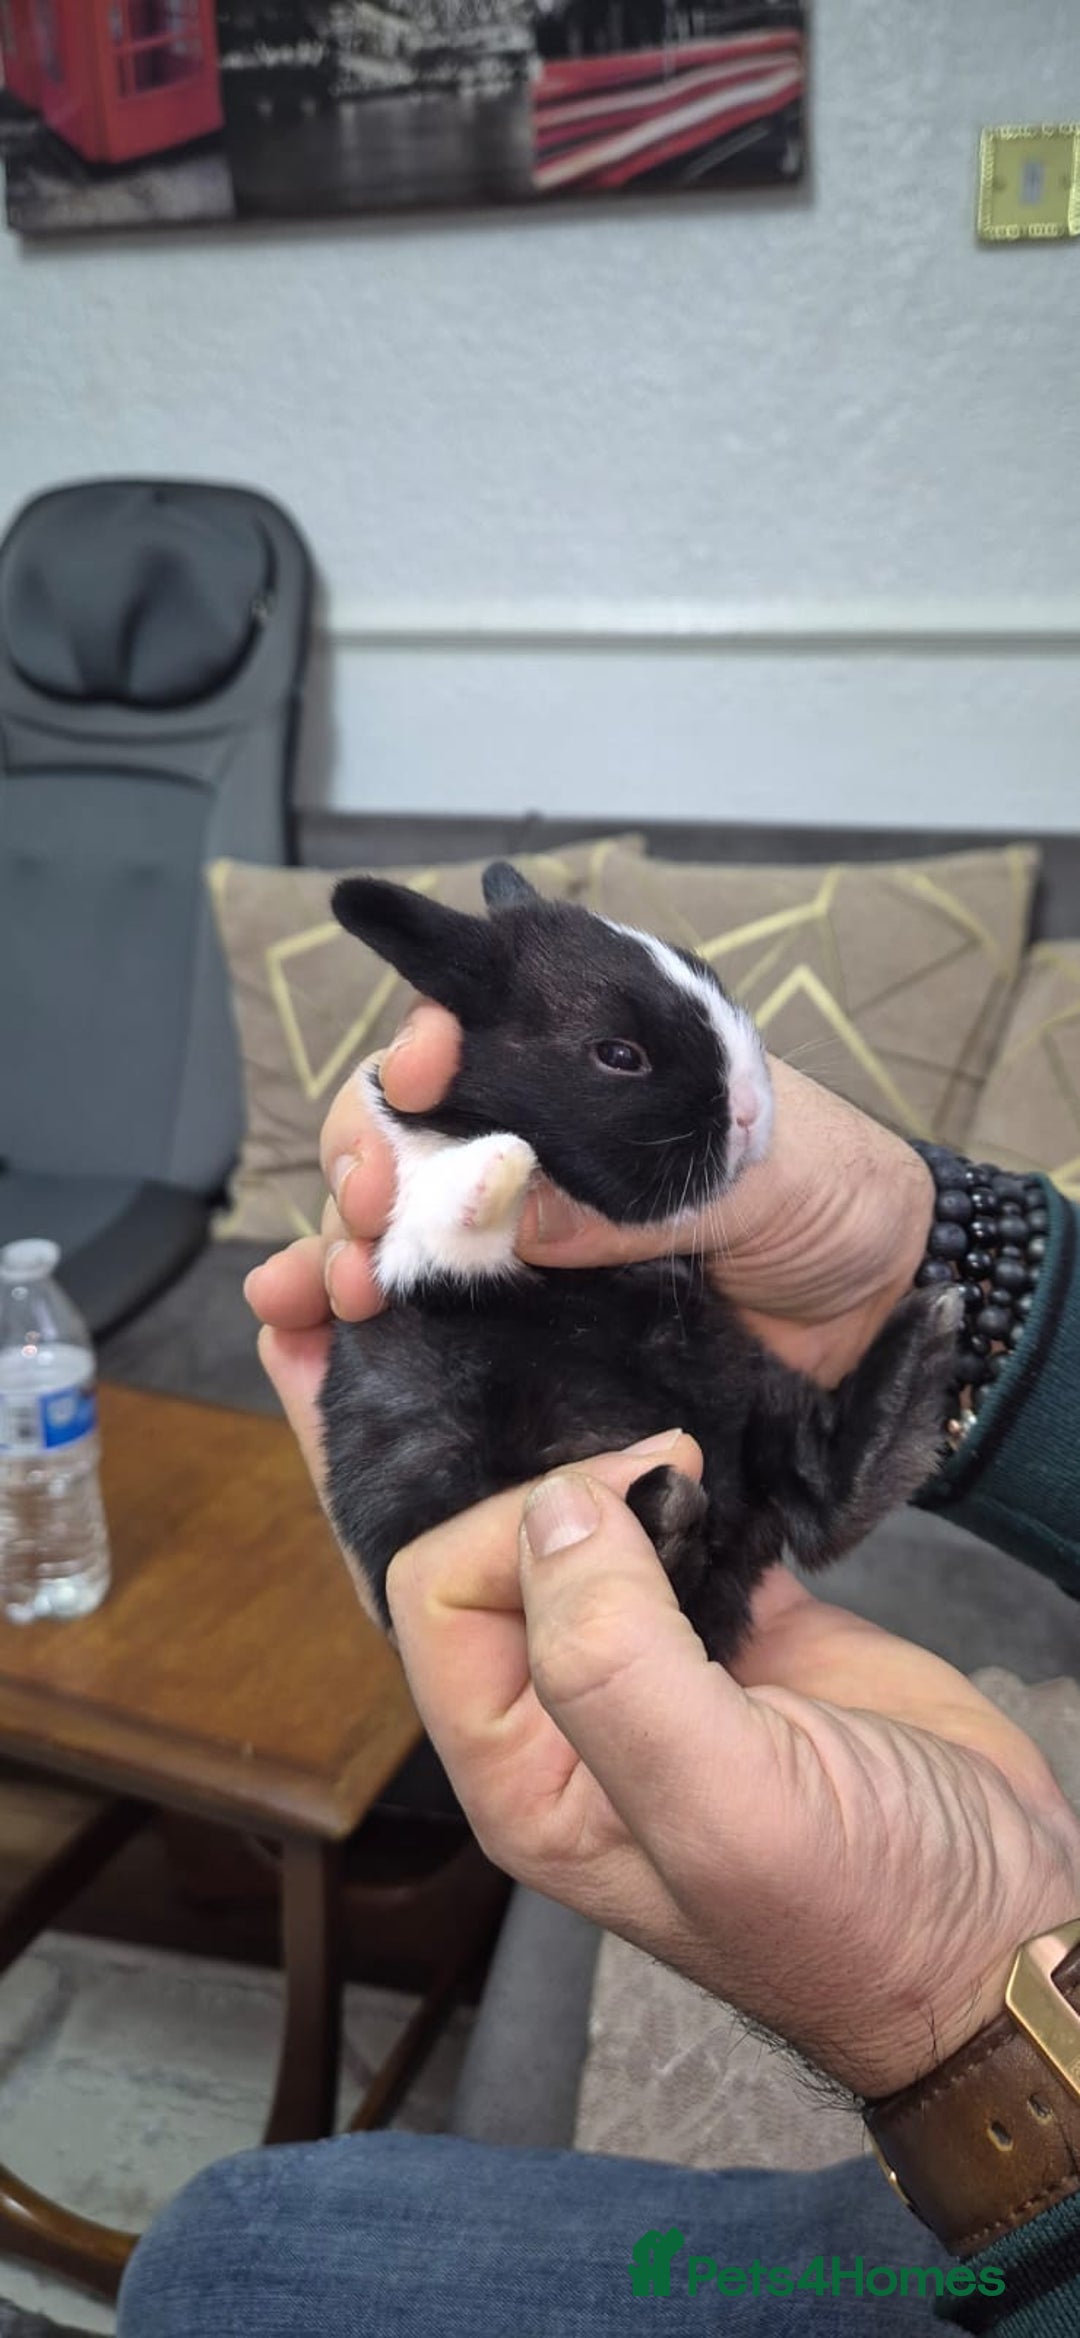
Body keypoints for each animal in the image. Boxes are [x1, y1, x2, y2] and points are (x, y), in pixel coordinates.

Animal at [318, 862, 961, 1663]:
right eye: (619, 1055)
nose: (751, 1114)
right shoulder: (413, 1250)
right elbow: (447, 1212)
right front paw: (504, 1162)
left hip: (753, 1390)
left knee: (816, 1491)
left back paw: (917, 1345)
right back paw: (665, 1516)